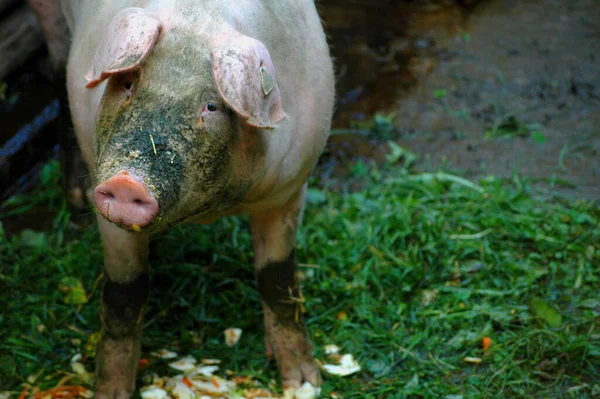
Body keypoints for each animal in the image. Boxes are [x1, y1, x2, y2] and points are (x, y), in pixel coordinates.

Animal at [28, 1, 336, 398]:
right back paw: (76, 200)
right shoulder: (109, 208)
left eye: (212, 106)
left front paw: (304, 382)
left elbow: (277, 279)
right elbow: (124, 295)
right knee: (55, 64)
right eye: (128, 83)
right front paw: (110, 391)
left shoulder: (288, 190)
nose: (127, 184)